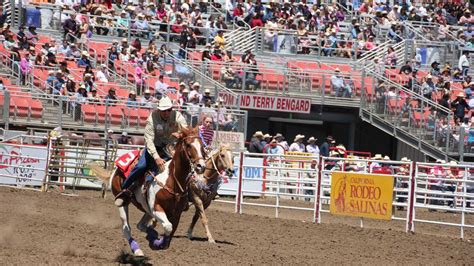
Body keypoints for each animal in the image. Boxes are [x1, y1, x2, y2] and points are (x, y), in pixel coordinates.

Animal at [109, 128, 206, 256]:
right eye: (188, 145)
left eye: (202, 146)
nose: (201, 166)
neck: (172, 180)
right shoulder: (156, 208)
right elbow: (168, 227)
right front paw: (155, 243)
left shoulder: (177, 213)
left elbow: (170, 233)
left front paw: (156, 241)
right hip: (123, 203)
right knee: (126, 228)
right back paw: (137, 250)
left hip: (146, 209)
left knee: (141, 225)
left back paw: (151, 235)